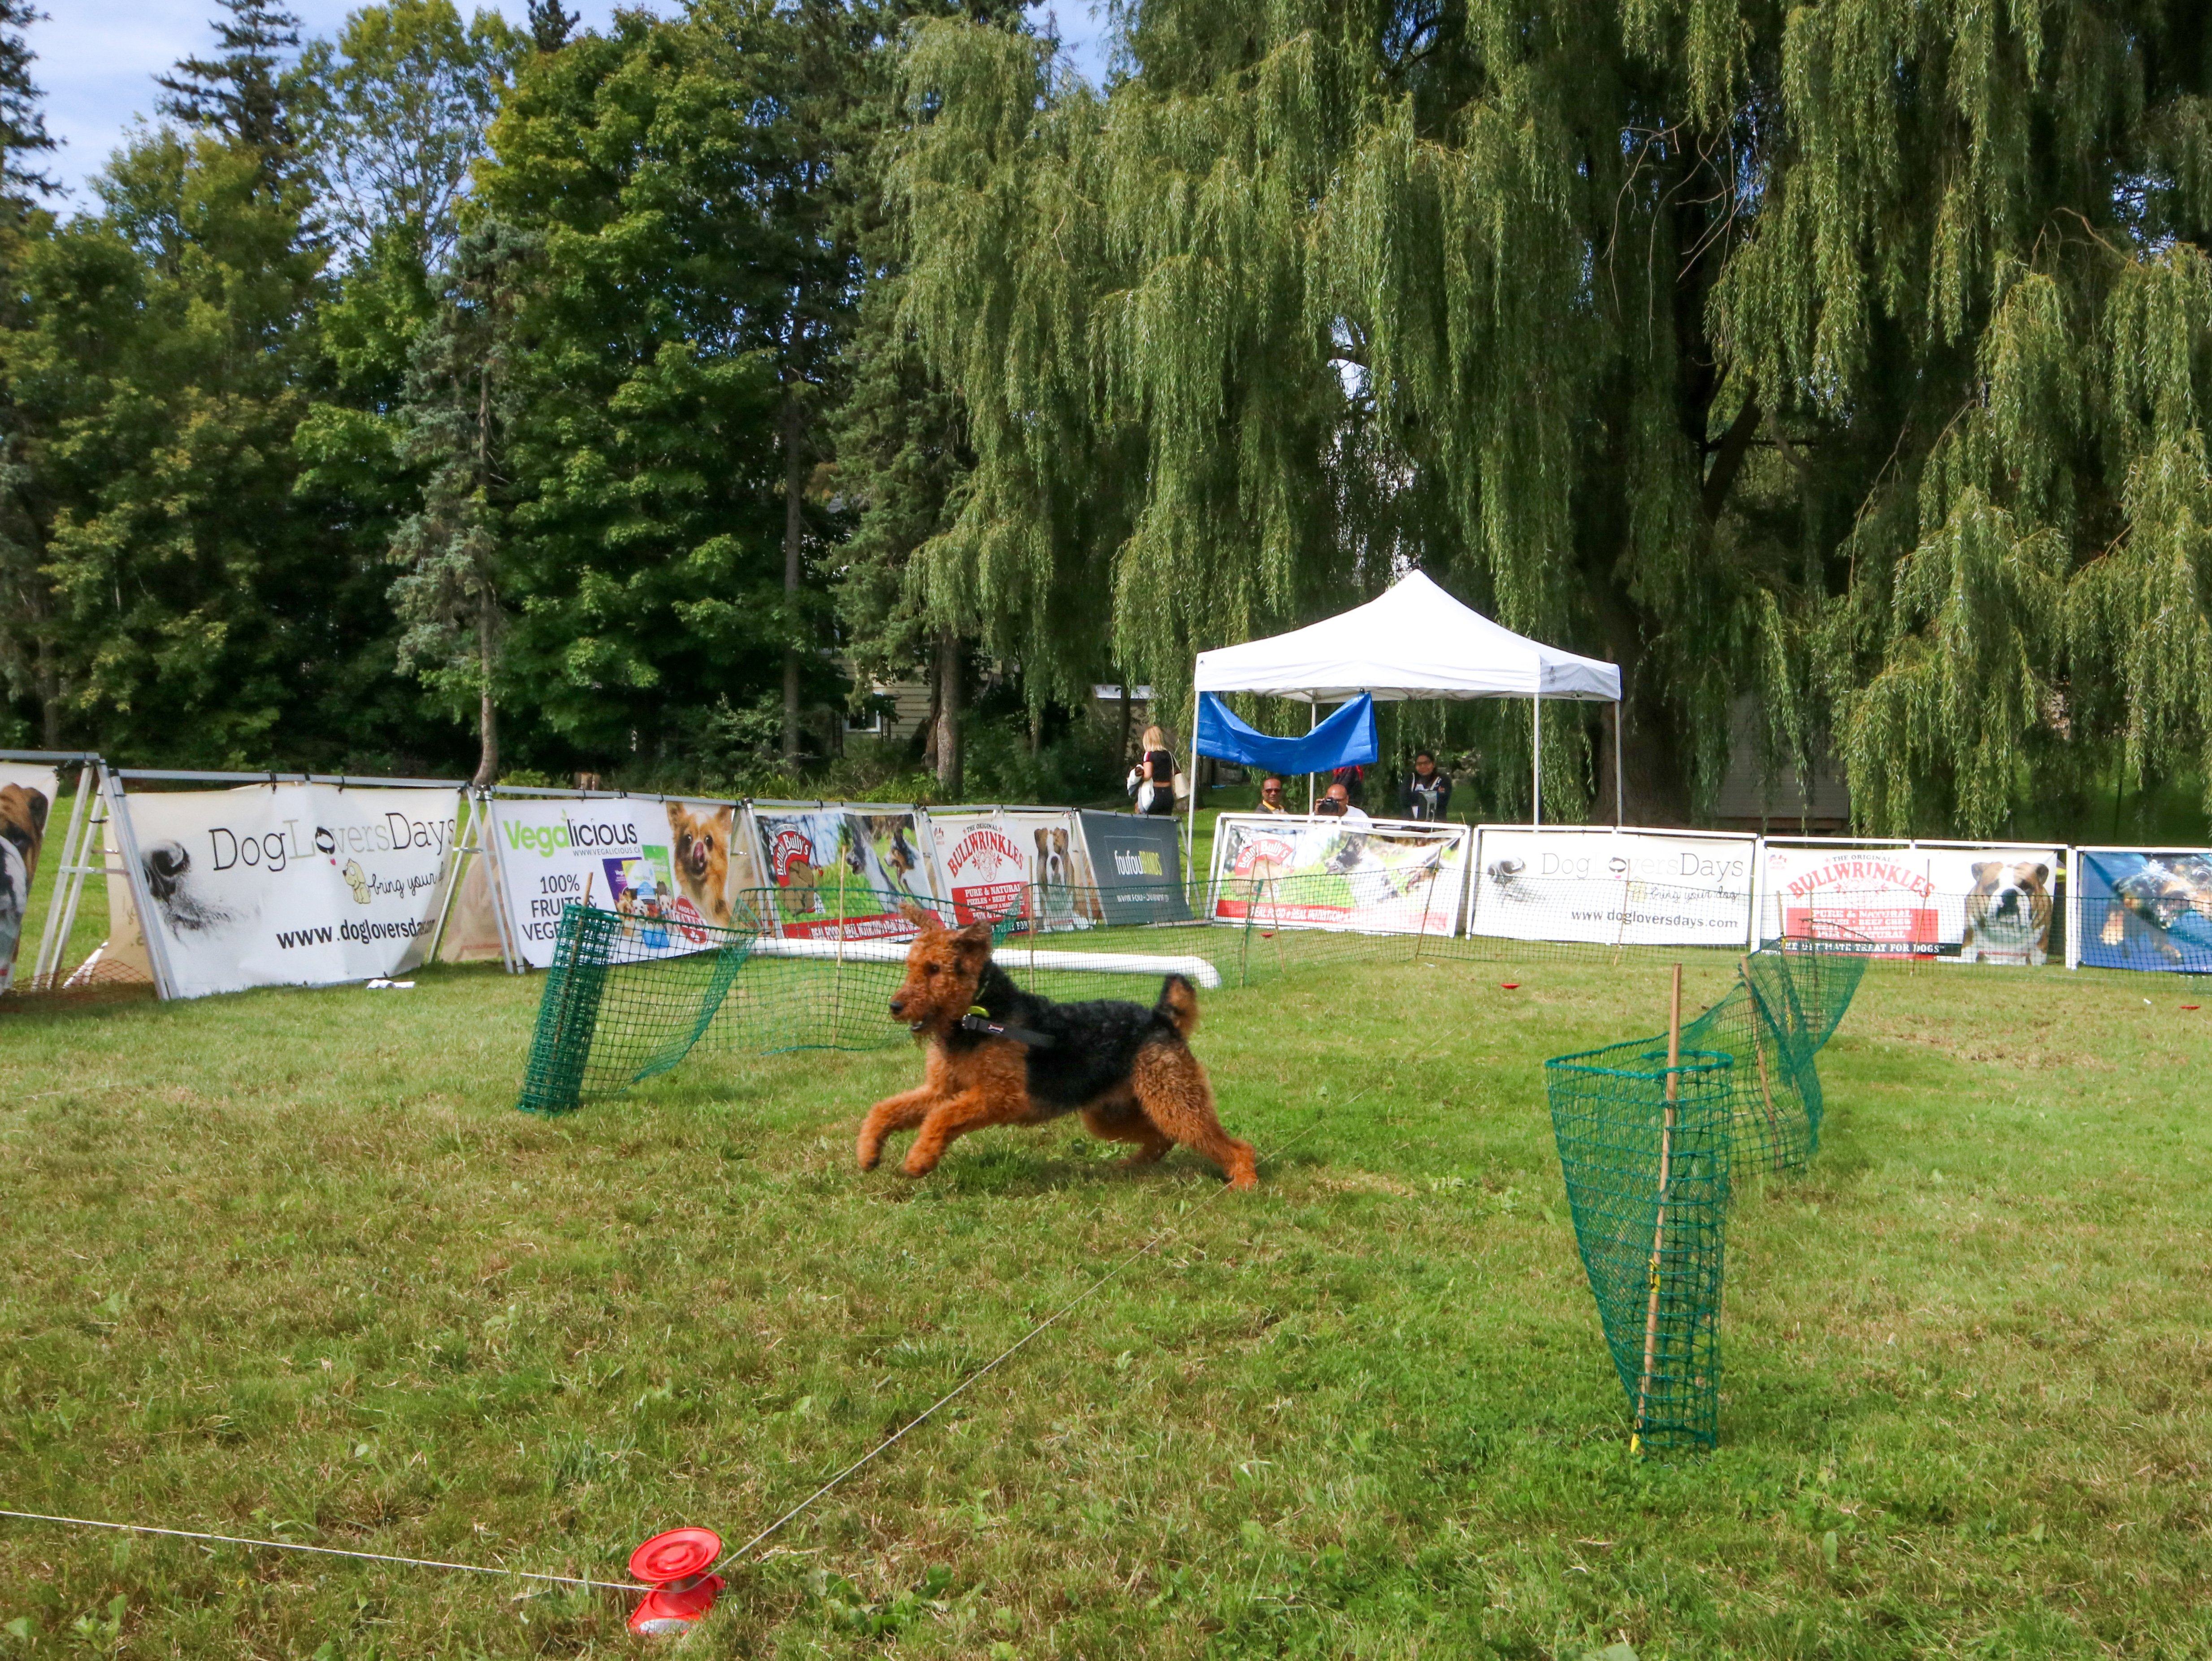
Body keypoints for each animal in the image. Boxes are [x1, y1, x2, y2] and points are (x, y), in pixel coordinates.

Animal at [854, 902, 1256, 1185]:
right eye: (911, 966)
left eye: (935, 969)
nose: (895, 1007)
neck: (978, 1017)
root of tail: (1161, 1018)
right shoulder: (942, 1089)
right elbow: (886, 1110)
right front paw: (868, 1154)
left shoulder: (1001, 1095)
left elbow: (941, 1118)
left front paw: (918, 1161)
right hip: (1109, 1114)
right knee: (1162, 1138)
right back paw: (1129, 1167)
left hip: (1173, 1100)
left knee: (1232, 1145)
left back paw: (1244, 1182)